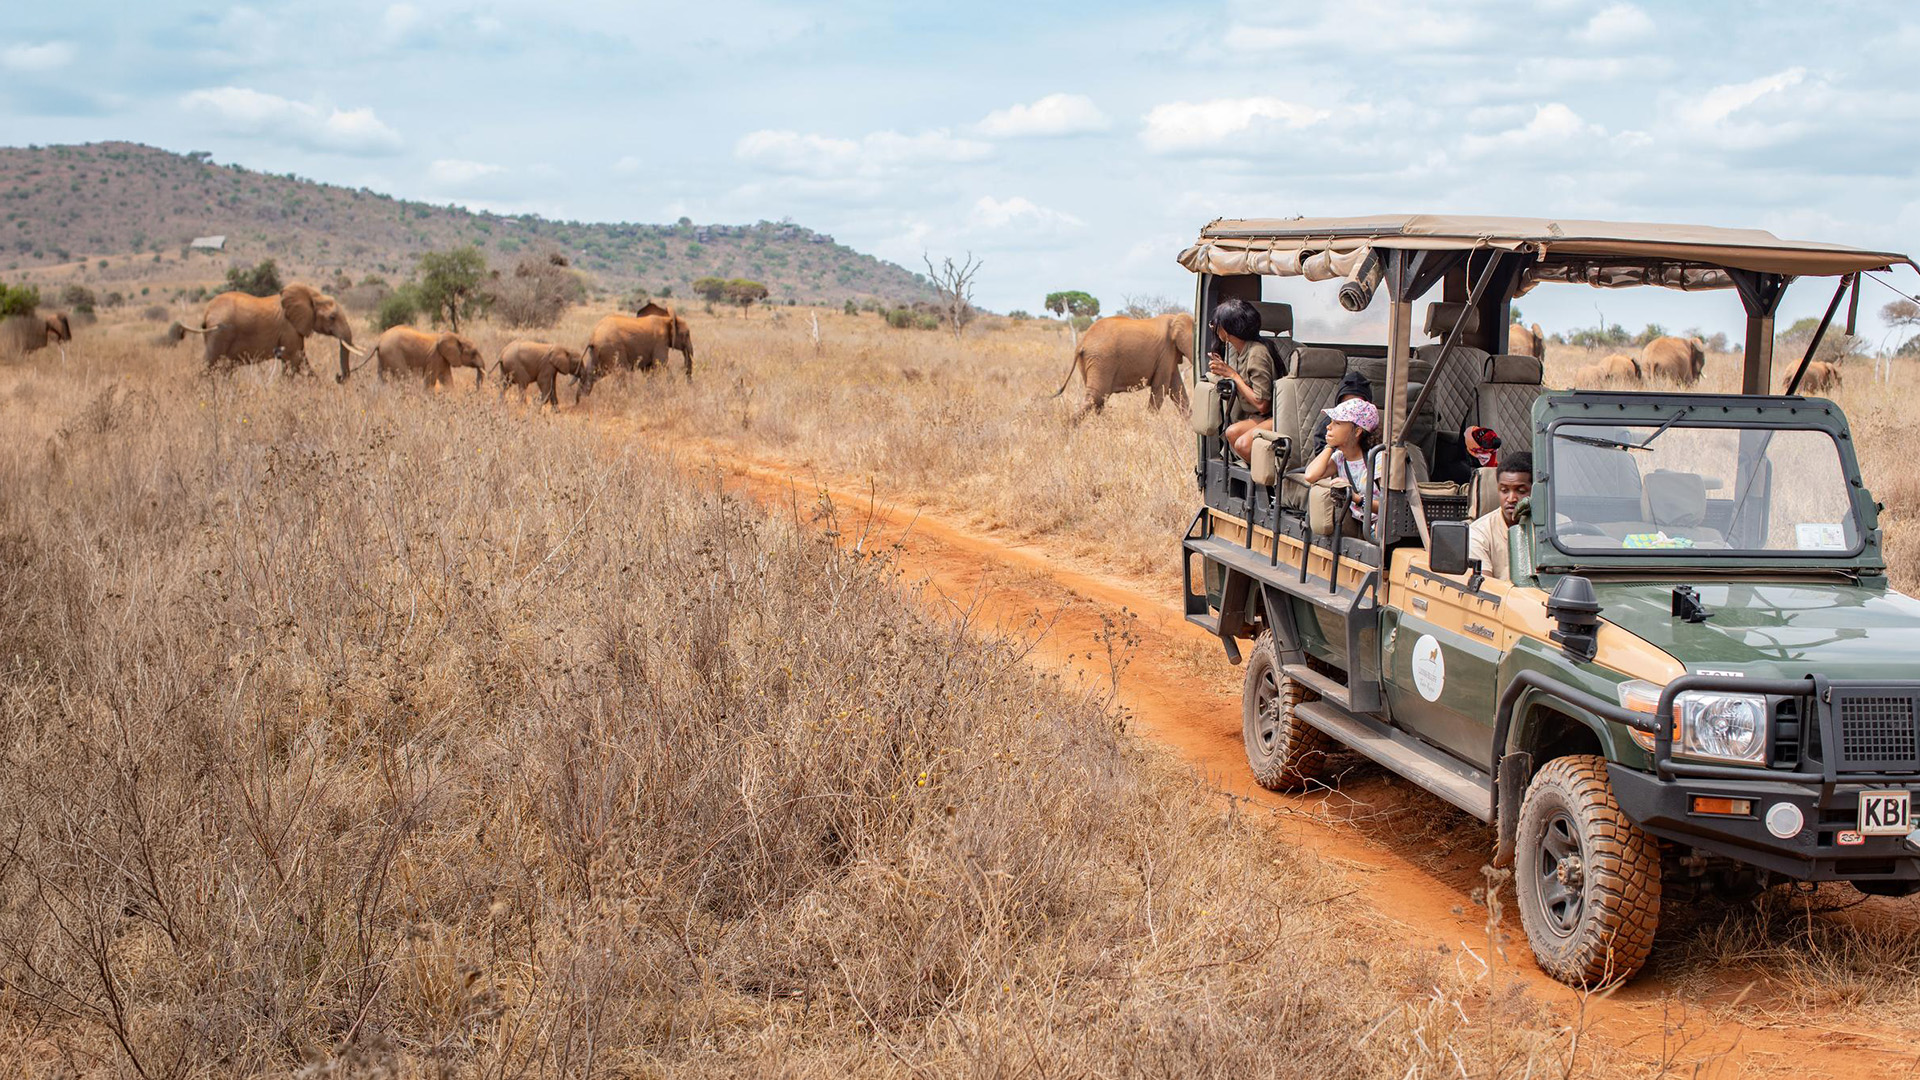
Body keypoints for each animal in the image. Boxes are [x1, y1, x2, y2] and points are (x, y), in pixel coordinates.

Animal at [170, 283, 361, 377]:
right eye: (332, 317)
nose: (338, 377)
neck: (312, 295)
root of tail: (207, 312)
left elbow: (300, 360)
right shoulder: (289, 328)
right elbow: (295, 360)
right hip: (218, 335)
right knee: (209, 365)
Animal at [1049, 312, 1196, 422]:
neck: (1176, 318)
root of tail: (1081, 343)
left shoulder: (1170, 355)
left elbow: (1177, 389)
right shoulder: (1166, 353)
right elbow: (1161, 388)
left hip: (1090, 362)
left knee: (1098, 398)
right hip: (1102, 360)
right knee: (1097, 396)